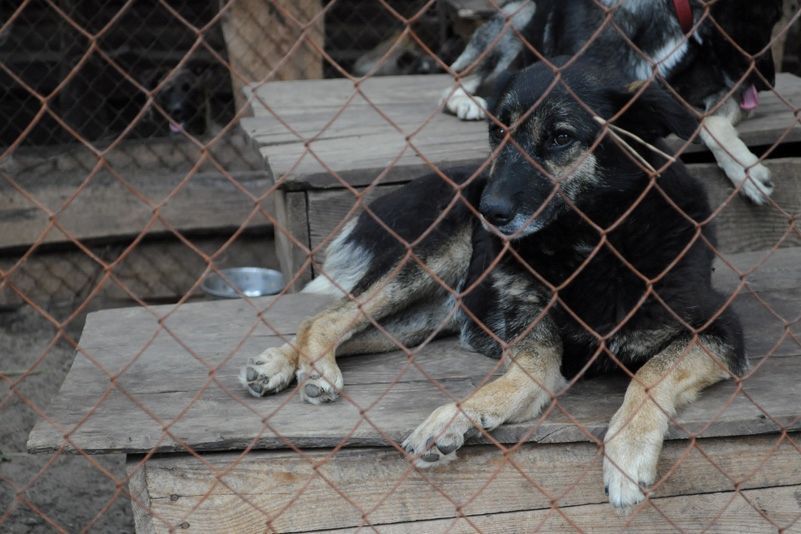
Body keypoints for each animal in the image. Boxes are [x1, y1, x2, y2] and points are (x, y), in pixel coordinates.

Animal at [238, 58, 744, 510]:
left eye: (561, 136)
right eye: (498, 133)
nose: (488, 210)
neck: (588, 245)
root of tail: (459, 177)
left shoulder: (719, 331)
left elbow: (650, 375)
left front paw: (627, 453)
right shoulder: (536, 348)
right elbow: (516, 382)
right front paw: (454, 418)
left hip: (423, 319)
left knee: (348, 327)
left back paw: (283, 364)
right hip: (426, 265)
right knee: (328, 318)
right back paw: (307, 368)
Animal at [440, 0, 780, 205]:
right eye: (766, 20)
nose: (768, 85)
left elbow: (711, 119)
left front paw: (745, 170)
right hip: (517, 18)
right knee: (457, 79)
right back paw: (467, 102)